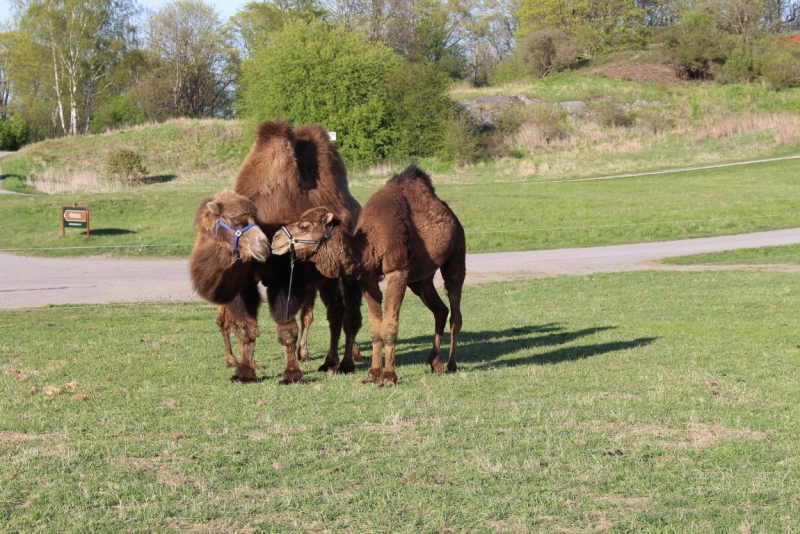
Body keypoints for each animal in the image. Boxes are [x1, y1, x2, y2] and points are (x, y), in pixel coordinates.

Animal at [188, 122, 362, 386]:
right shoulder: (243, 282)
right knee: (335, 313)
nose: (264, 245)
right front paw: (244, 372)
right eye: (237, 221)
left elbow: (287, 328)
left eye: (249, 220)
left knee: (350, 315)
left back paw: (346, 363)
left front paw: (291, 374)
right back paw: (329, 362)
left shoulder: (287, 277)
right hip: (327, 278)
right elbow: (246, 329)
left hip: (348, 272)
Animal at [272, 165, 466, 388]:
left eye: (305, 226)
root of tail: (452, 216)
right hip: (420, 279)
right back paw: (435, 363)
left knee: (455, 306)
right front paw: (372, 374)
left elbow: (389, 327)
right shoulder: (368, 279)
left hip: (456, 253)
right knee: (440, 310)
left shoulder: (397, 273)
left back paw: (451, 365)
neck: (371, 244)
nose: (275, 238)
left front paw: (389, 377)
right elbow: (375, 328)